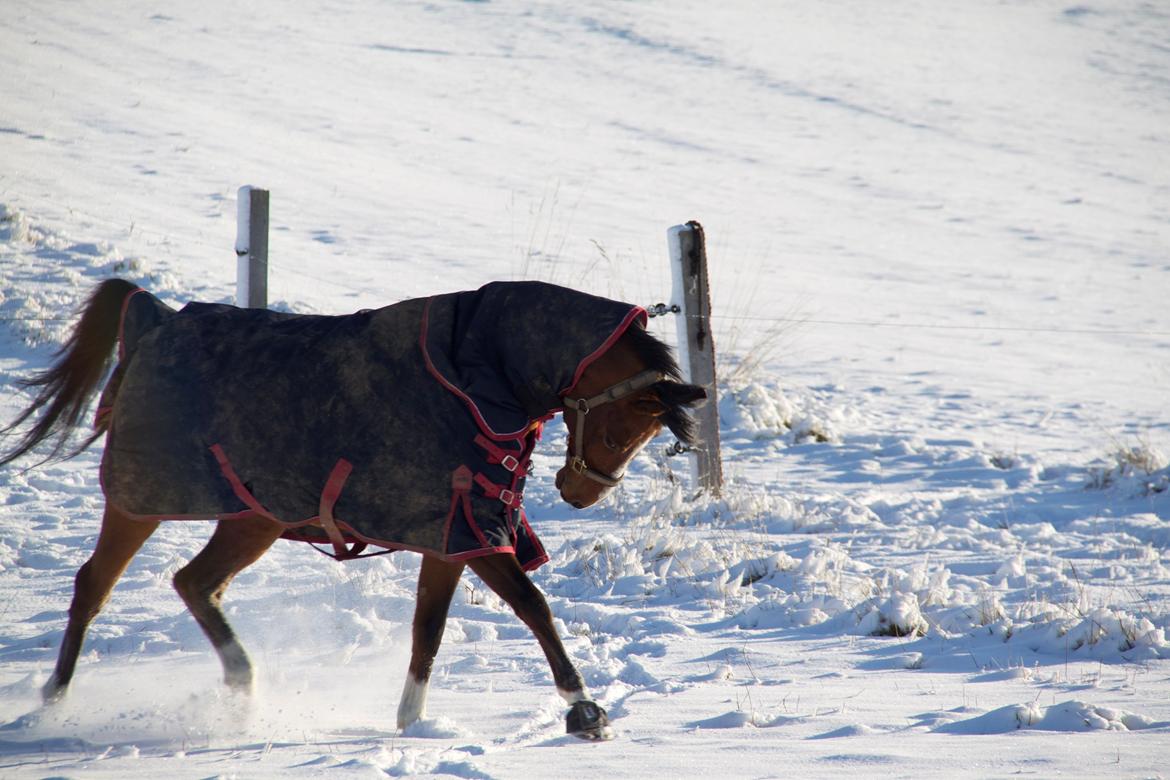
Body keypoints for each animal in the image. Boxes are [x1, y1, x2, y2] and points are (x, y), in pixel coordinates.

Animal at [0, 278, 705, 740]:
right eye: (620, 428)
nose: (579, 493)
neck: (474, 377)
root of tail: (151, 323)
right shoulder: (473, 532)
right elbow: (533, 606)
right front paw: (584, 711)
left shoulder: (452, 535)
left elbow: (429, 628)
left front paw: (412, 720)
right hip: (140, 503)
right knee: (94, 586)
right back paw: (53, 703)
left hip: (253, 519)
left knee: (194, 583)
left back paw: (242, 682)